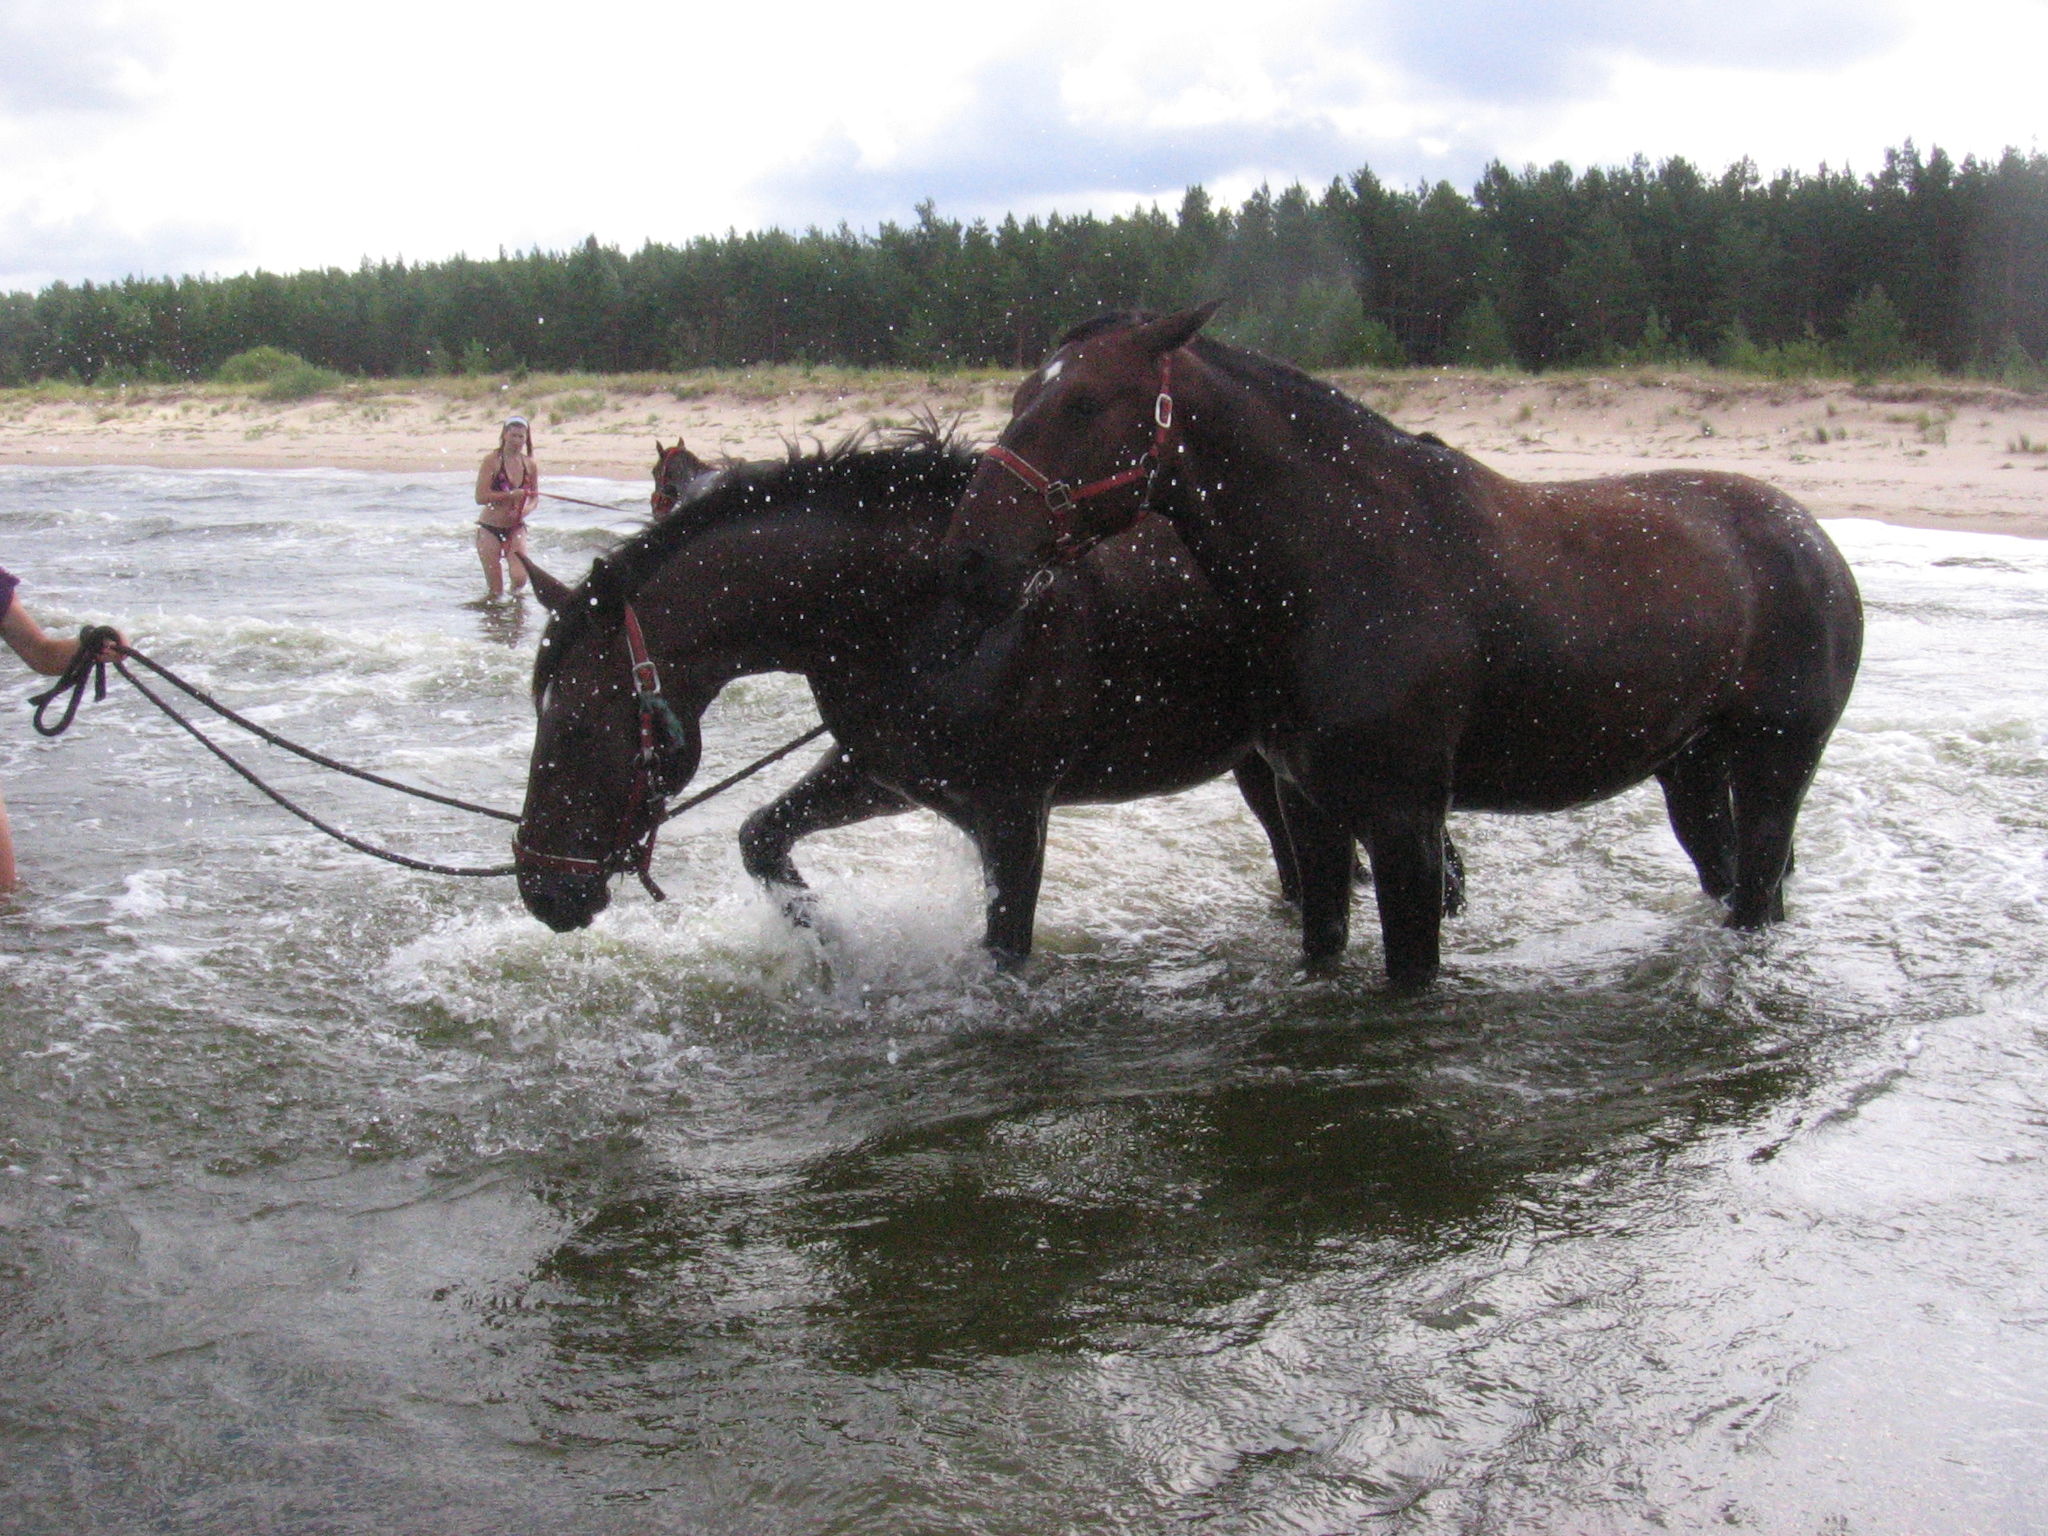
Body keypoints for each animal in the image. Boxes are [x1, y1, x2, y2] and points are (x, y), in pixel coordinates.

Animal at [513, 430, 1383, 963]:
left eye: (576, 727)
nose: (541, 889)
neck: (925, 612)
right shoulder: (890, 774)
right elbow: (762, 837)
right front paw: (827, 943)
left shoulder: (1014, 814)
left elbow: (1004, 953)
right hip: (1258, 764)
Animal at [943, 307, 1864, 987]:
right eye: (1022, 397)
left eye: (1085, 403)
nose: (970, 553)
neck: (1352, 560)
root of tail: (1814, 540)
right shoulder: (1310, 809)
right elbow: (1320, 948)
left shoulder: (1406, 823)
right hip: (1694, 771)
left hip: (1776, 765)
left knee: (1755, 896)